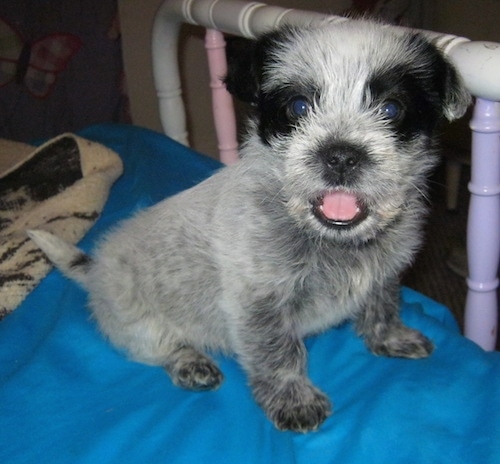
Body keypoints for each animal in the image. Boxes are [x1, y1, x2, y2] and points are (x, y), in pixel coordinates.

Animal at [28, 20, 468, 434]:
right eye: (298, 106)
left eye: (391, 108)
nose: (341, 156)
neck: (329, 240)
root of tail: (95, 269)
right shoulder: (260, 305)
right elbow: (280, 355)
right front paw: (294, 400)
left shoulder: (383, 274)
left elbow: (383, 306)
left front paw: (389, 337)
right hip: (134, 320)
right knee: (157, 346)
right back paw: (190, 363)